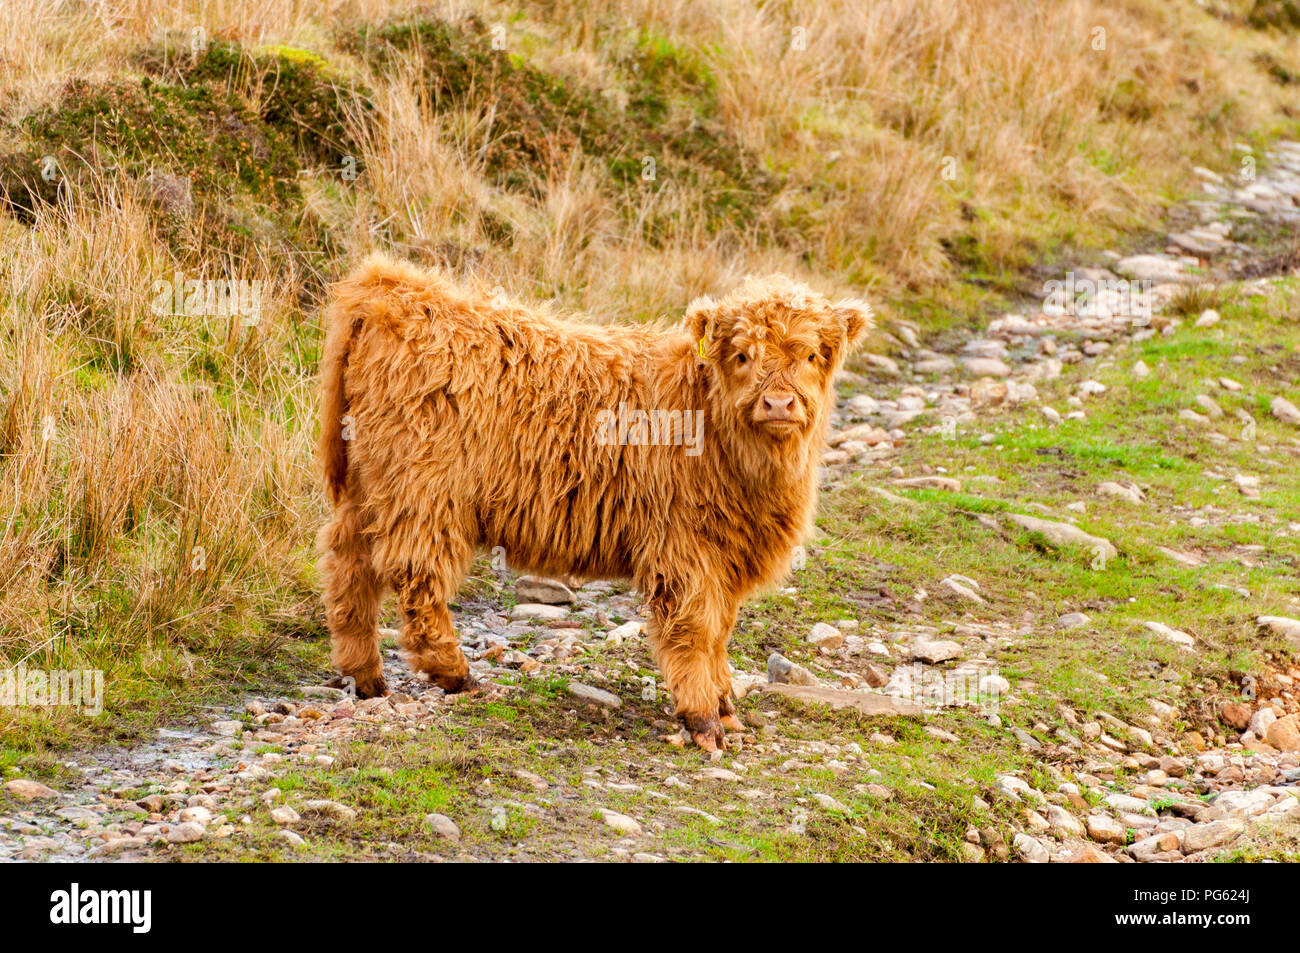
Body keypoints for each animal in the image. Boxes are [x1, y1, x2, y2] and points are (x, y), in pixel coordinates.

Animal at [315, 256, 868, 748]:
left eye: (812, 355)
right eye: (742, 355)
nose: (778, 403)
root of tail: (398, 290)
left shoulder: (727, 557)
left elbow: (720, 632)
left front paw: (726, 705)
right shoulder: (684, 550)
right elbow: (696, 629)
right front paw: (704, 720)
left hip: (369, 485)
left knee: (348, 565)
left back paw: (367, 677)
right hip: (424, 490)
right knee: (415, 576)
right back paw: (455, 673)